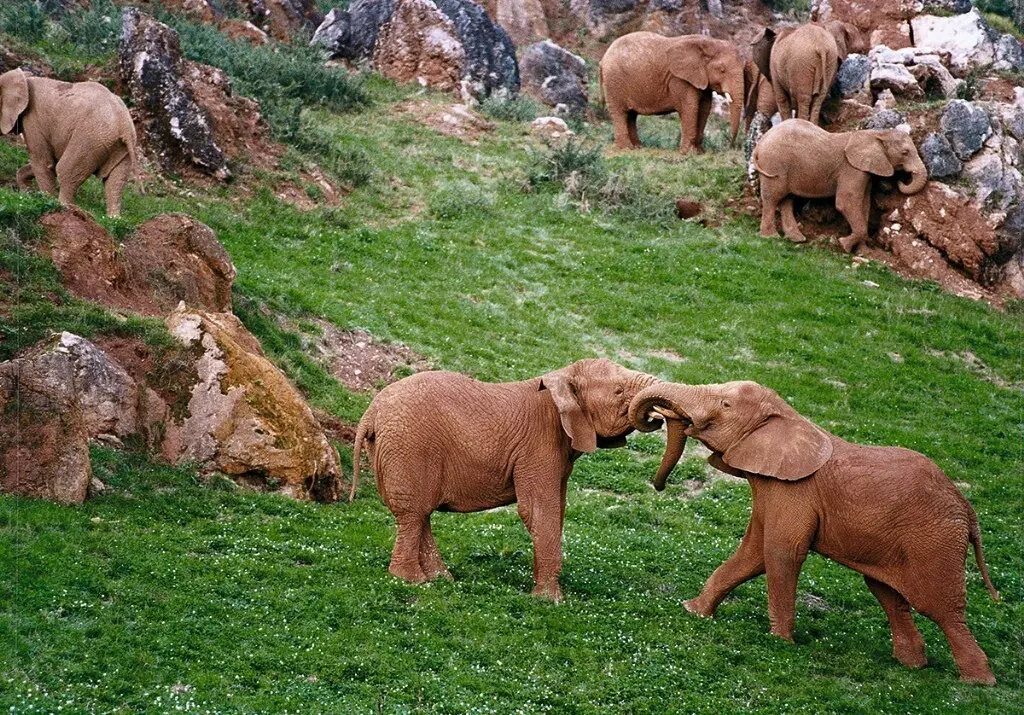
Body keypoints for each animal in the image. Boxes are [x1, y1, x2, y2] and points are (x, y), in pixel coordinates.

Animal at [1, 69, 139, 217]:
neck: (24, 78)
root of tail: (123, 122)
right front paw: (25, 194)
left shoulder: (33, 120)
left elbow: (43, 162)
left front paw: (45, 199)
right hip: (120, 145)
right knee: (115, 180)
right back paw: (113, 218)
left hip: (89, 138)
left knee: (65, 170)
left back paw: (62, 207)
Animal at [350, 359, 659, 601]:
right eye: (619, 391)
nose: (656, 416)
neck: (562, 378)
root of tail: (370, 412)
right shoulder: (538, 446)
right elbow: (538, 511)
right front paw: (550, 601)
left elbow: (556, 510)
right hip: (409, 448)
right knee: (414, 514)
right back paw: (414, 581)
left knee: (419, 513)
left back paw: (441, 579)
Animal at [599, 33, 754, 153]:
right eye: (722, 70)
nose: (730, 146)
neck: (708, 42)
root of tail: (603, 59)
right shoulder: (680, 79)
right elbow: (690, 108)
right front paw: (688, 153)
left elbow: (704, 109)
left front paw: (699, 152)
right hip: (614, 81)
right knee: (620, 113)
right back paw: (626, 149)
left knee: (631, 115)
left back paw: (638, 147)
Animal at [629, 380, 1000, 685]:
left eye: (725, 404)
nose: (659, 485)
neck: (788, 416)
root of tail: (968, 510)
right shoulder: (771, 489)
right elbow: (753, 553)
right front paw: (693, 611)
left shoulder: (795, 492)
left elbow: (781, 552)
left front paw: (780, 641)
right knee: (889, 595)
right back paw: (911, 665)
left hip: (934, 542)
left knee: (941, 608)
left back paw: (978, 683)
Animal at [753, 119, 927, 252]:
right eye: (905, 152)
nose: (900, 181)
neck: (876, 134)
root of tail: (760, 143)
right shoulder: (852, 169)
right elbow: (846, 202)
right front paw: (844, 245)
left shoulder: (865, 170)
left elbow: (864, 205)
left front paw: (863, 252)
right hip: (774, 164)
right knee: (772, 198)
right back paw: (771, 237)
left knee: (787, 200)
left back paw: (797, 239)